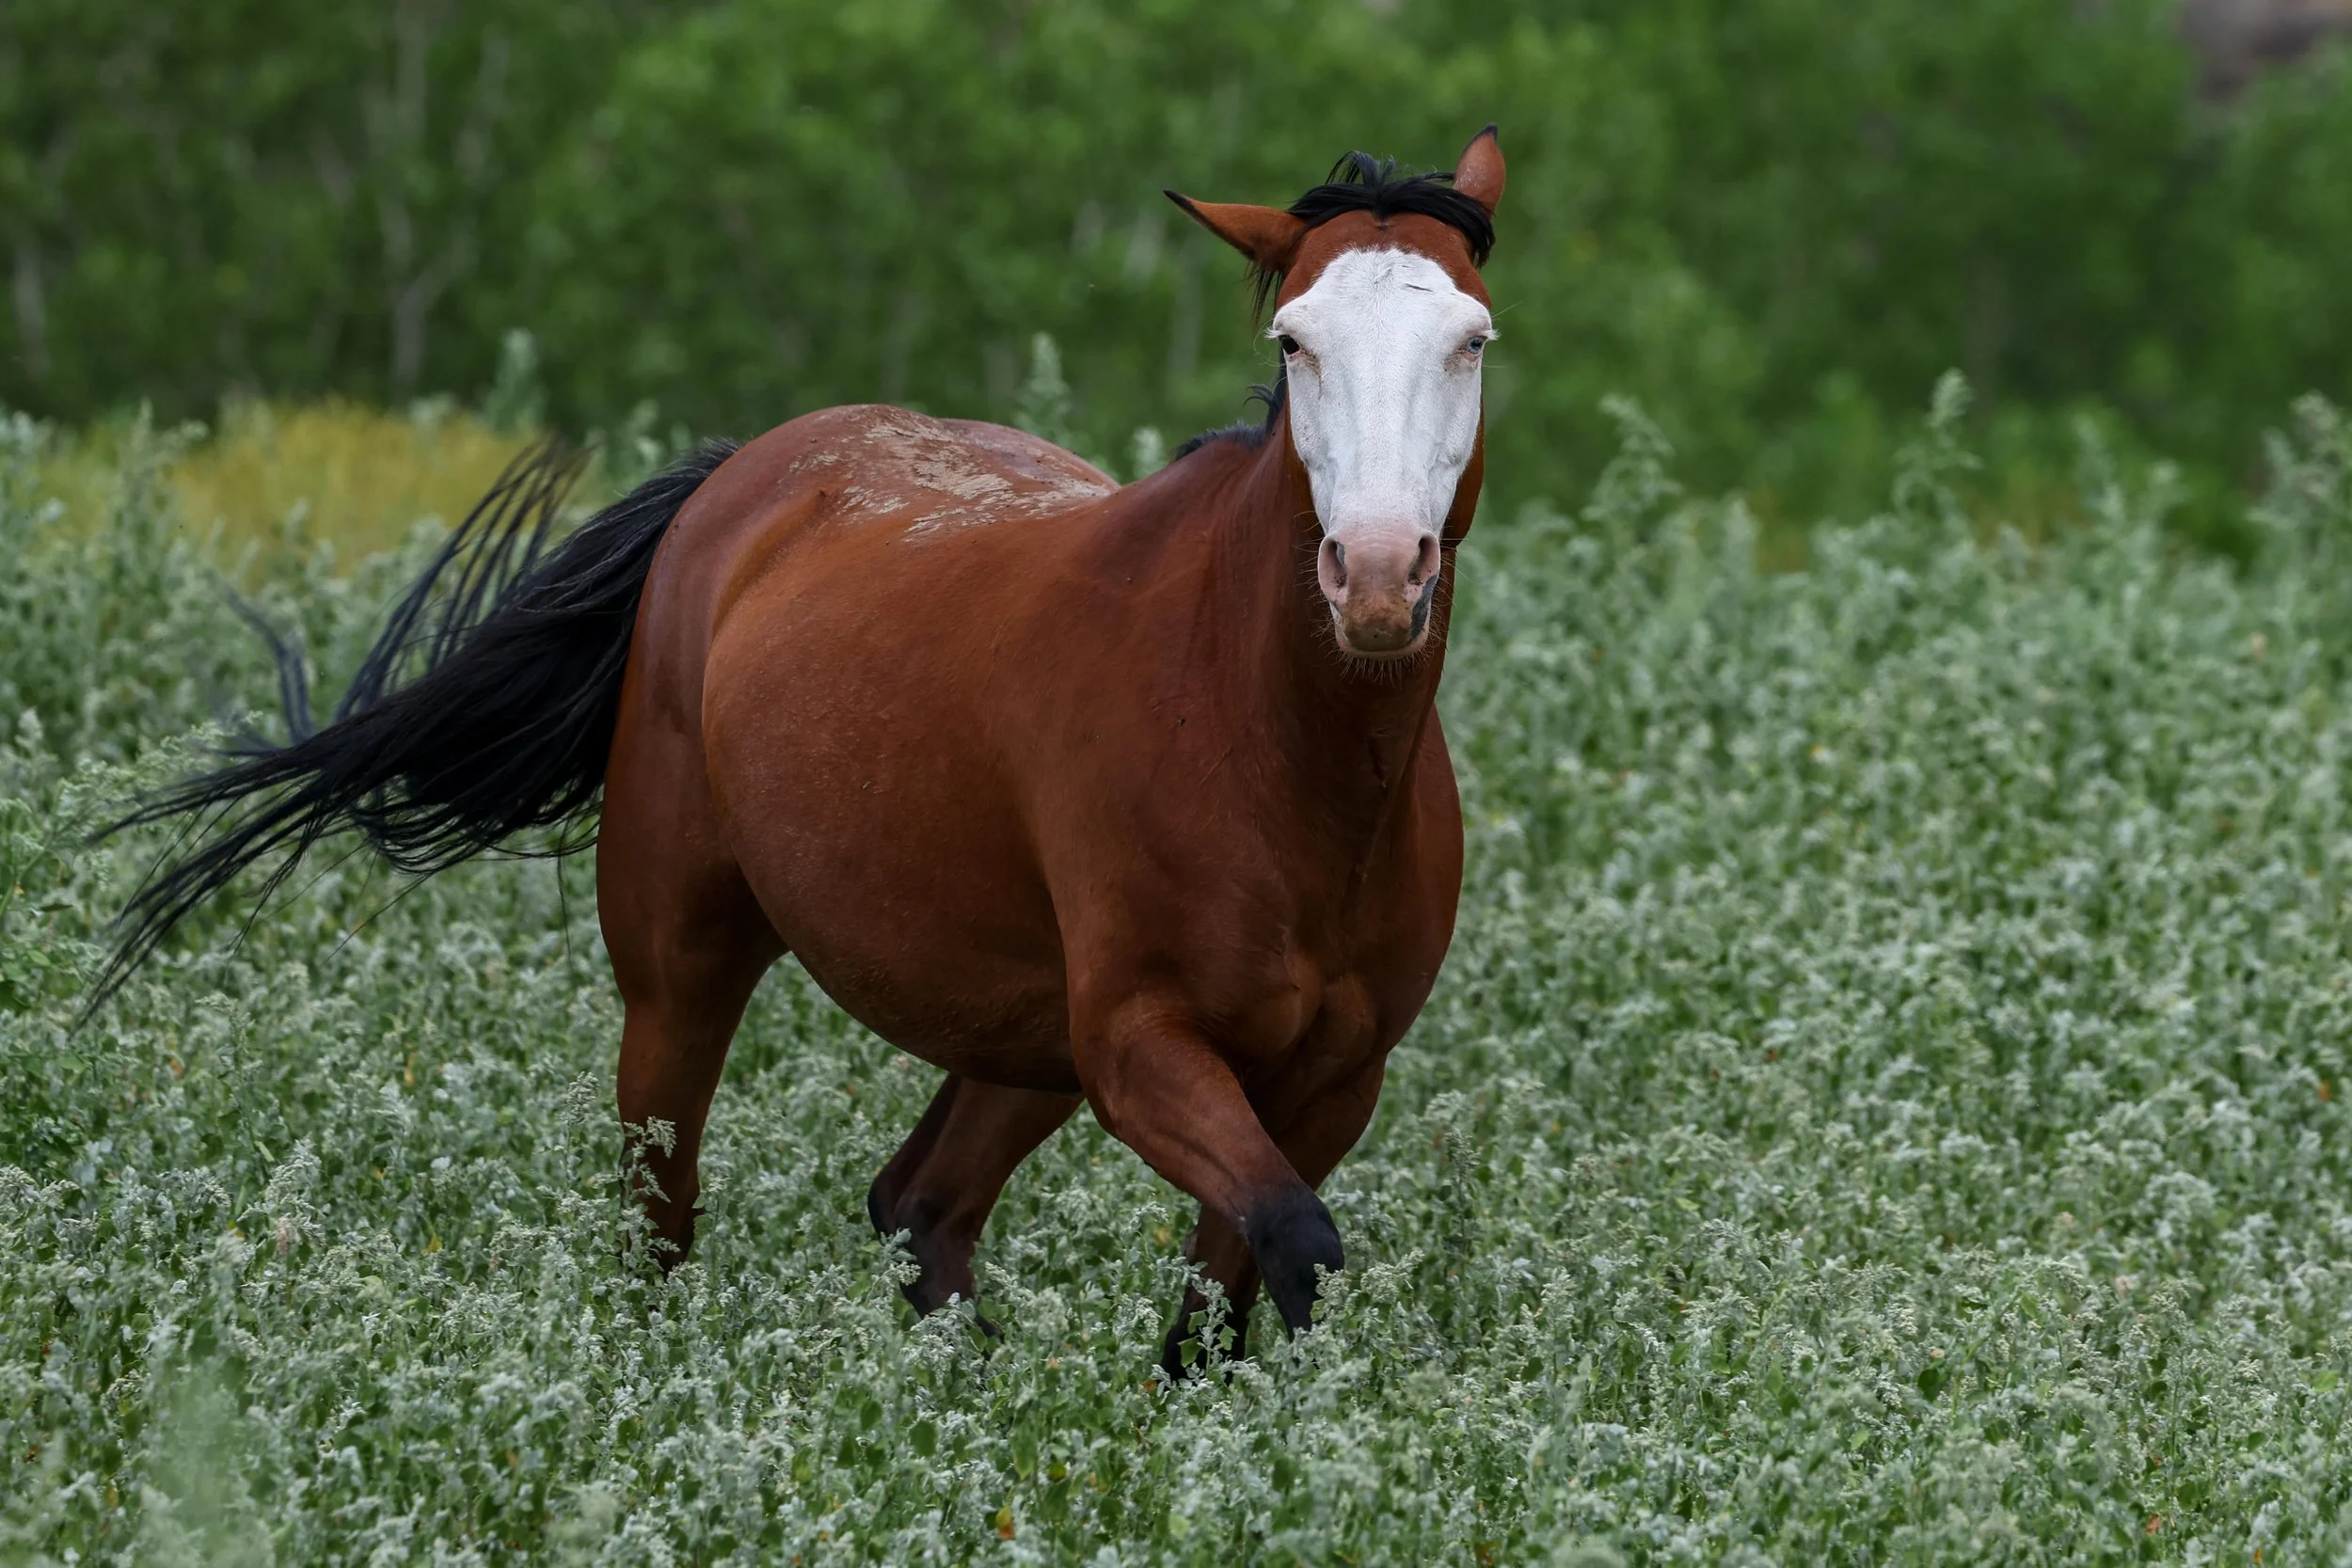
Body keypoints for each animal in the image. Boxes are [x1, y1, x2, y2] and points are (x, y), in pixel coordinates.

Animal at [102, 128, 1506, 1376]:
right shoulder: (1141, 1042)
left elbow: (1230, 1295)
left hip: (1020, 1033)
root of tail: (745, 477)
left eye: (1472, 337)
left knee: (919, 1205)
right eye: (1294, 339)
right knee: (662, 1213)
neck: (1267, 745)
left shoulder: (1331, 1077)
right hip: (686, 969)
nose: (1376, 574)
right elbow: (1294, 1242)